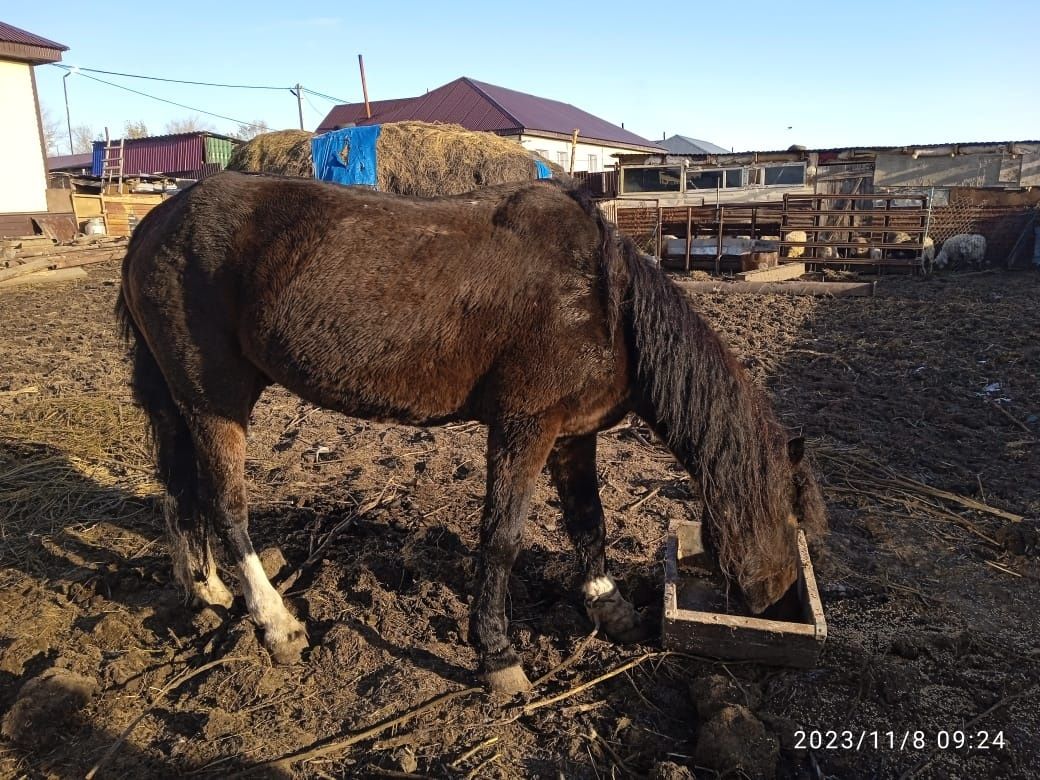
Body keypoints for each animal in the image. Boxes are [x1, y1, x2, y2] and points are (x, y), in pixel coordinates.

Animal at [115, 172, 827, 694]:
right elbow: (503, 538)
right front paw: (497, 655)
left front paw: (607, 604)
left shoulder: (573, 433)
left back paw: (205, 591)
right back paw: (275, 623)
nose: (773, 600)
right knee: (225, 504)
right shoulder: (523, 427)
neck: (605, 303)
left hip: (179, 402)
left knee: (180, 493)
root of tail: (155, 221)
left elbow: (588, 519)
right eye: (791, 516)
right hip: (214, 400)